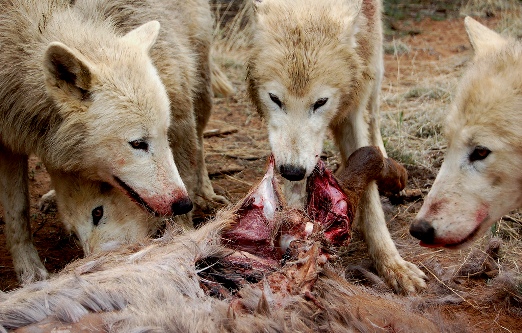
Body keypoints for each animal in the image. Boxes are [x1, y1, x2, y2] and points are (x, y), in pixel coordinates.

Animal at [246, 0, 424, 290]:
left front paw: (392, 265)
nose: (291, 171)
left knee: (375, 119)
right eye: (274, 99)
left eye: (321, 102)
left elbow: (370, 195)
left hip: (376, 73)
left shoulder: (355, 108)